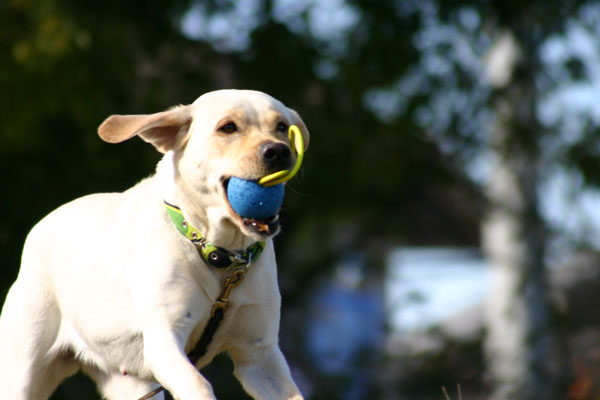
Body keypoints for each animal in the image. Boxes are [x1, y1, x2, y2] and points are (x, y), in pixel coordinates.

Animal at [0, 90, 310, 400]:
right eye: (228, 127)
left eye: (282, 126)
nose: (278, 151)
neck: (217, 252)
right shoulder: (164, 341)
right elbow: (199, 383)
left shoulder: (259, 354)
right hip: (22, 365)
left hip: (131, 382)